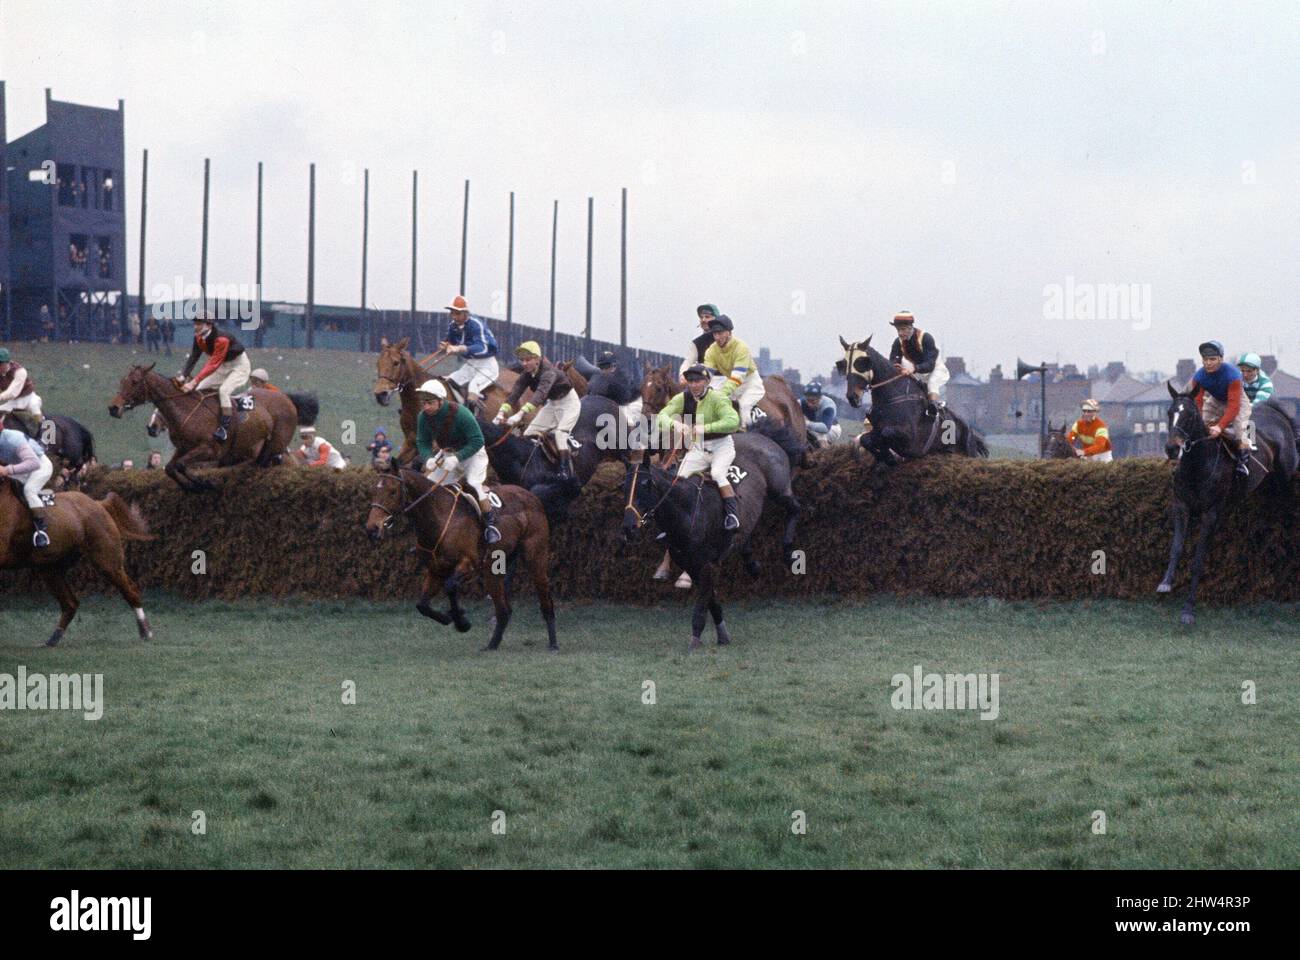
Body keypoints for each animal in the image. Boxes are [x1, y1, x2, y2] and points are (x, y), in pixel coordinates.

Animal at [0, 476, 154, 642]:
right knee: (70, 603)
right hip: (50, 569)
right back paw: (54, 638)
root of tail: (99, 504)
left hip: (107, 562)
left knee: (131, 591)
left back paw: (146, 631)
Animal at [105, 361, 310, 489]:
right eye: (122, 381)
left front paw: (204, 483)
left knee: (266, 463)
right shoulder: (183, 449)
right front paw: (191, 486)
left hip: (275, 444)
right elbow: (171, 467)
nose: (113, 408)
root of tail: (288, 400)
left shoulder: (209, 450)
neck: (186, 410)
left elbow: (181, 465)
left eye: (134, 382)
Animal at [364, 463, 556, 650]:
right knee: (503, 610)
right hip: (492, 570)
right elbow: (422, 605)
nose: (372, 528)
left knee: (545, 600)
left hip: (535, 557)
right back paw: (492, 645)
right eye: (373, 491)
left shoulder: (468, 564)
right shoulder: (436, 570)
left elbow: (449, 586)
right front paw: (450, 617)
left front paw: (461, 621)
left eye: (392, 491)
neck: (438, 517)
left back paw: (553, 643)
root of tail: (529, 494)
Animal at [837, 333, 977, 460]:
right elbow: (865, 439)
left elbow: (887, 433)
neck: (891, 398)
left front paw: (890, 457)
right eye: (844, 364)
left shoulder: (911, 439)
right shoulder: (875, 430)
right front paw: (887, 458)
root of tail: (969, 428)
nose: (852, 397)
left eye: (861, 362)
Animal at [1159, 385, 1300, 624]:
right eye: (1170, 413)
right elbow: (1176, 548)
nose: (1171, 448)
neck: (1198, 464)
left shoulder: (1210, 513)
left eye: (1190, 415)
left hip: (1286, 474)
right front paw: (1166, 583)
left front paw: (1188, 608)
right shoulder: (1181, 507)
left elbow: (1198, 559)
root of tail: (1276, 412)